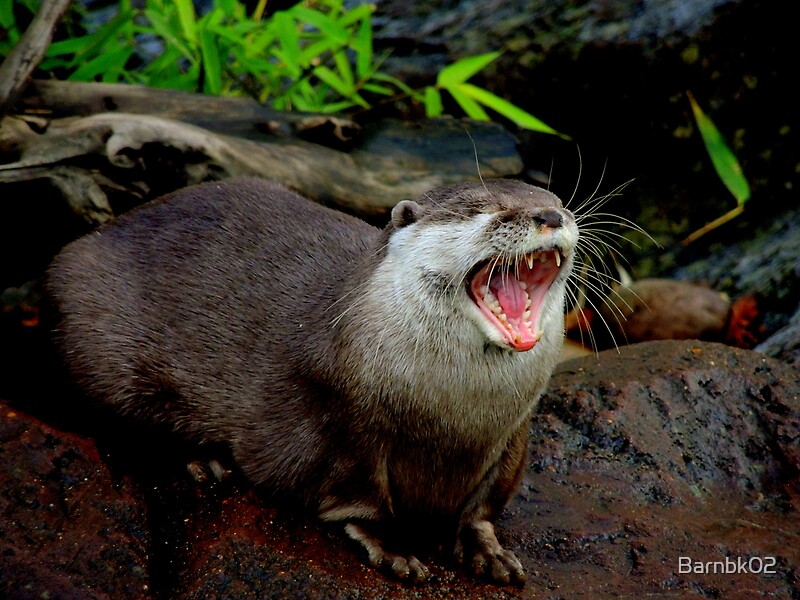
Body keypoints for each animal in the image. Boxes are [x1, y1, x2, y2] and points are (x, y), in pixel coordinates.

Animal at [45, 176, 576, 584]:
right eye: (481, 210)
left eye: (555, 198)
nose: (552, 216)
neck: (453, 414)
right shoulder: (342, 422)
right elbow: (358, 497)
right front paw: (392, 547)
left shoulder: (514, 432)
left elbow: (483, 507)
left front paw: (487, 549)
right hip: (96, 342)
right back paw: (202, 460)